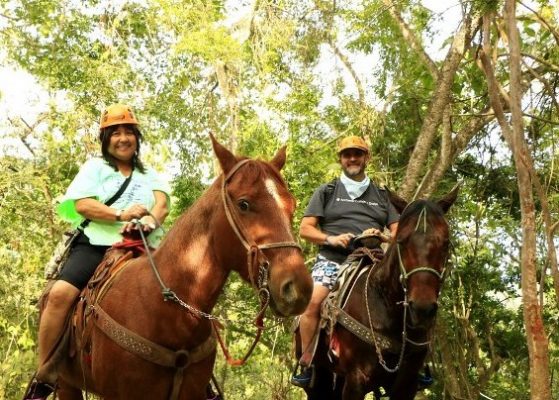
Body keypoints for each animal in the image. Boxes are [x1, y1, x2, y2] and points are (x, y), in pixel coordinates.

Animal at [294, 186, 460, 398]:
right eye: (401, 241)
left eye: (446, 243)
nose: (422, 308)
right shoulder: (356, 379)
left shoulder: (407, 383)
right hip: (318, 376)